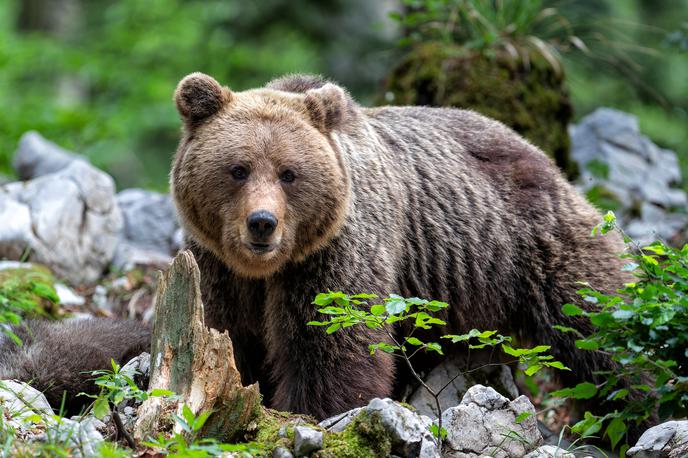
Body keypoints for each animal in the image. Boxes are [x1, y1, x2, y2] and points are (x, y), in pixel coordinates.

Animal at [171, 71, 628, 418]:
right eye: (238, 169)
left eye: (289, 173)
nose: (262, 223)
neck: (266, 270)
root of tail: (542, 156)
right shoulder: (218, 268)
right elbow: (231, 336)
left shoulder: (332, 255)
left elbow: (333, 342)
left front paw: (313, 411)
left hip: (534, 242)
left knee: (600, 329)